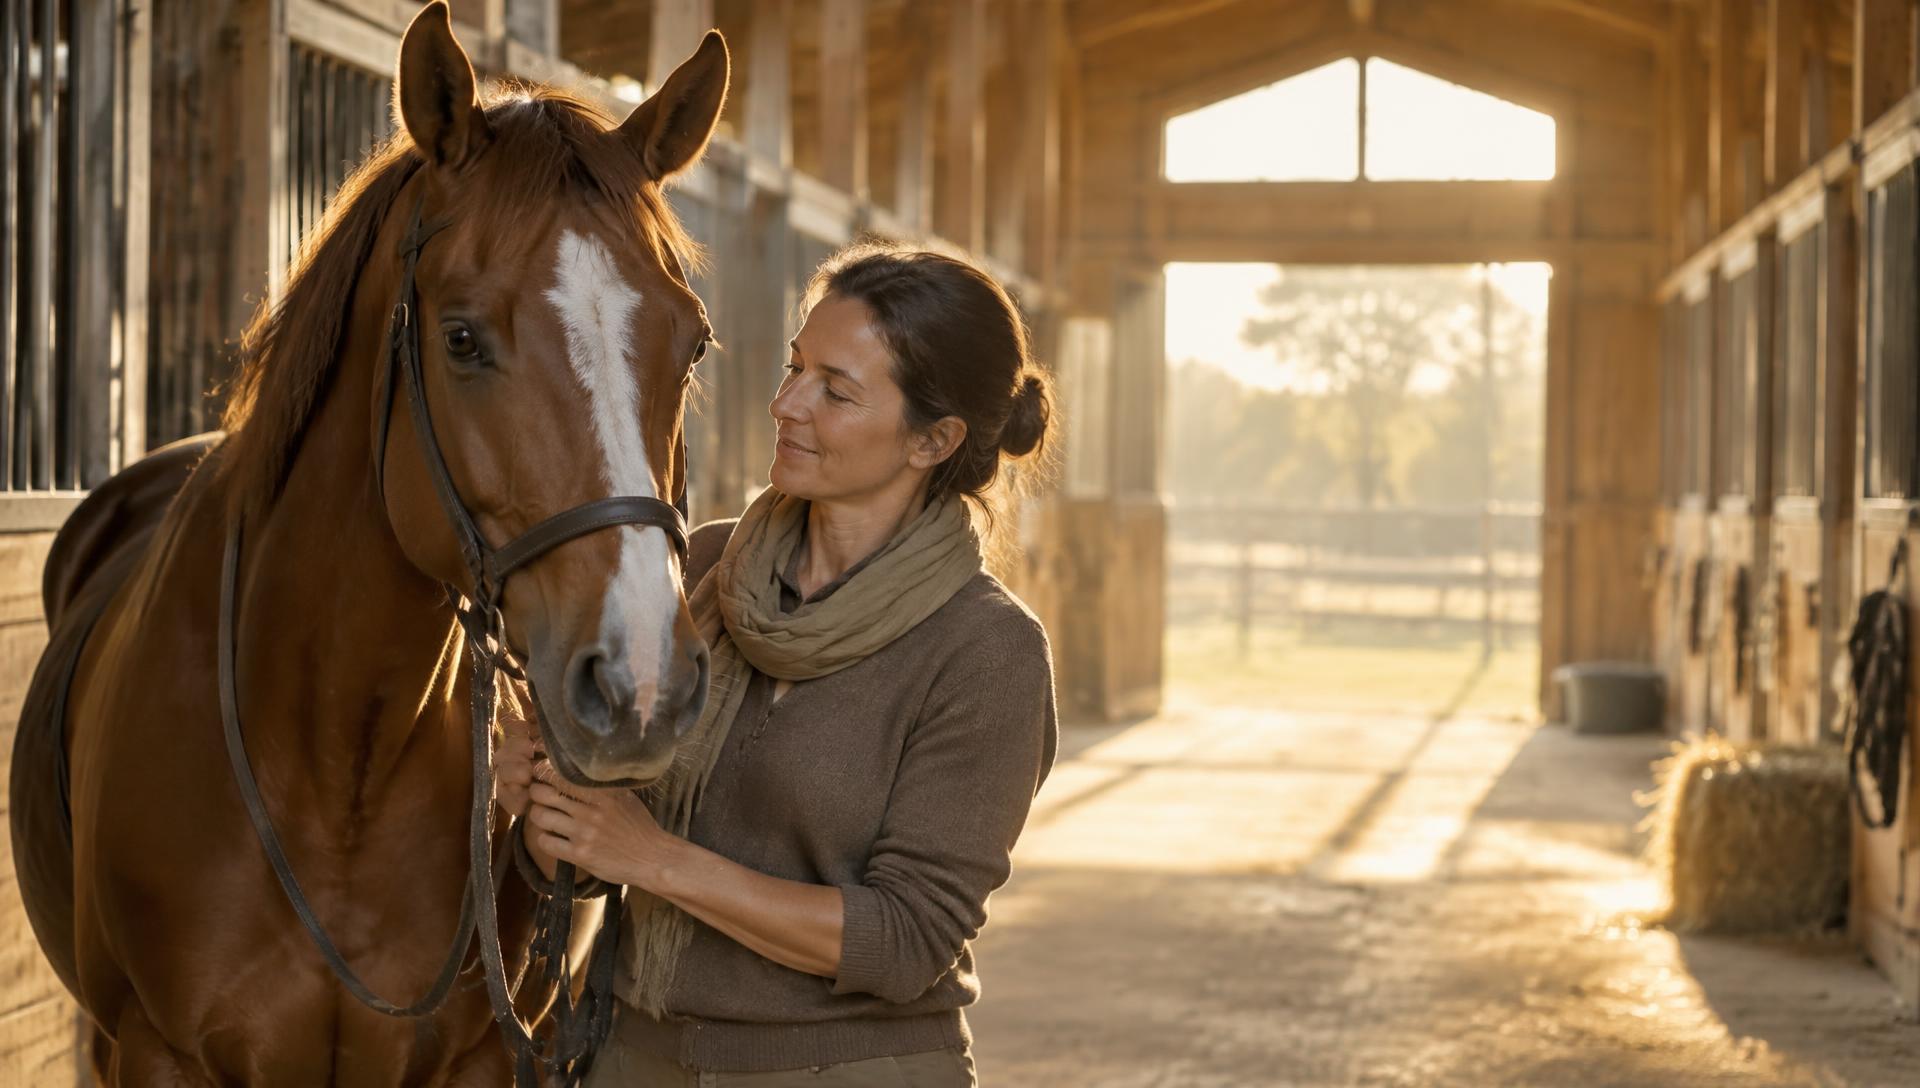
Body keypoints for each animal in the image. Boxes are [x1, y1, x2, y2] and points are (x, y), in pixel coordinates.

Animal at [8, 4, 726, 1082]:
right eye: (461, 337)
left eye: (693, 345)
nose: (641, 687)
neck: (335, 763)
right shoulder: (156, 1050)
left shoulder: (486, 1056)